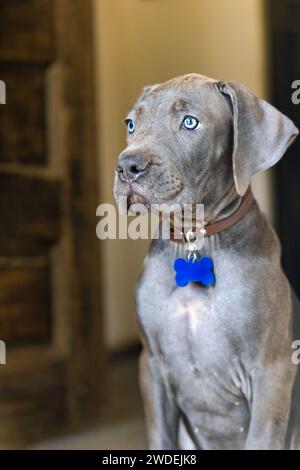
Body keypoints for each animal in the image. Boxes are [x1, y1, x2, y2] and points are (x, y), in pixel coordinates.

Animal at [115, 72, 300, 448]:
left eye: (190, 123)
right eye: (131, 124)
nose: (127, 166)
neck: (194, 241)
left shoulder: (272, 368)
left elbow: (262, 437)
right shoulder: (151, 365)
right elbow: (160, 437)